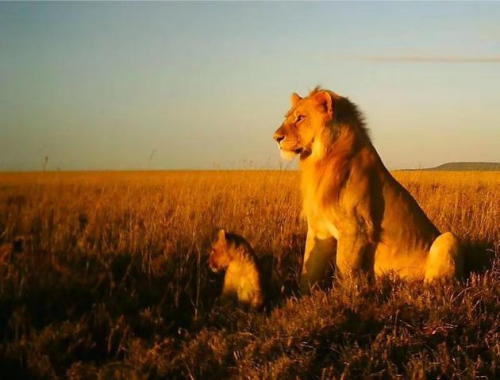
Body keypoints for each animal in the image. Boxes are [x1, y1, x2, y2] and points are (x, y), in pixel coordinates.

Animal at [272, 87, 462, 292]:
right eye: (287, 117)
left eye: (300, 118)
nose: (276, 138)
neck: (320, 161)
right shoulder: (319, 229)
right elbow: (309, 270)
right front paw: (303, 296)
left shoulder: (356, 229)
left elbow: (345, 272)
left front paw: (344, 297)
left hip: (449, 238)